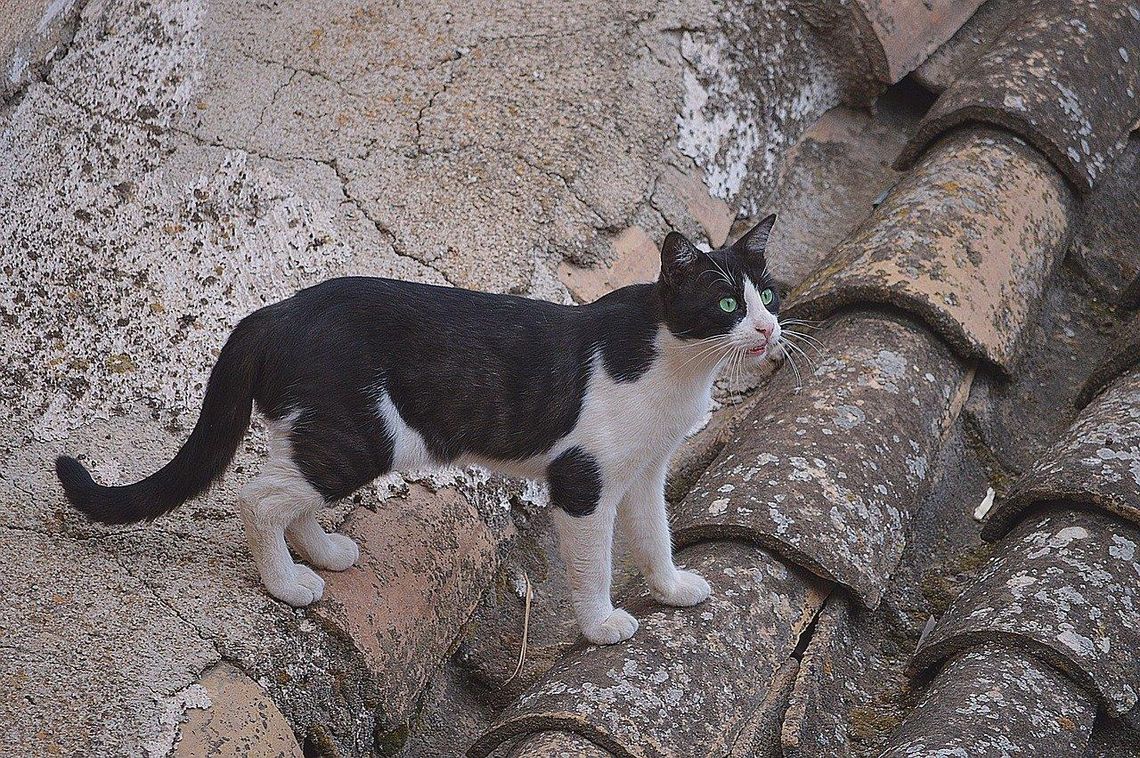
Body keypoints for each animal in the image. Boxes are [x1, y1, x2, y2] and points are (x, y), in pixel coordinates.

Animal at [55, 214, 784, 642]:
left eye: (768, 295)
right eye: (726, 304)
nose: (770, 328)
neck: (679, 367)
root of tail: (274, 311)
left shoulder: (644, 473)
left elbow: (657, 535)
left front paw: (672, 588)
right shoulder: (584, 482)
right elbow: (593, 564)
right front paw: (603, 623)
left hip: (329, 431)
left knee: (291, 492)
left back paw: (322, 551)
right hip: (363, 436)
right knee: (256, 498)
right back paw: (287, 584)